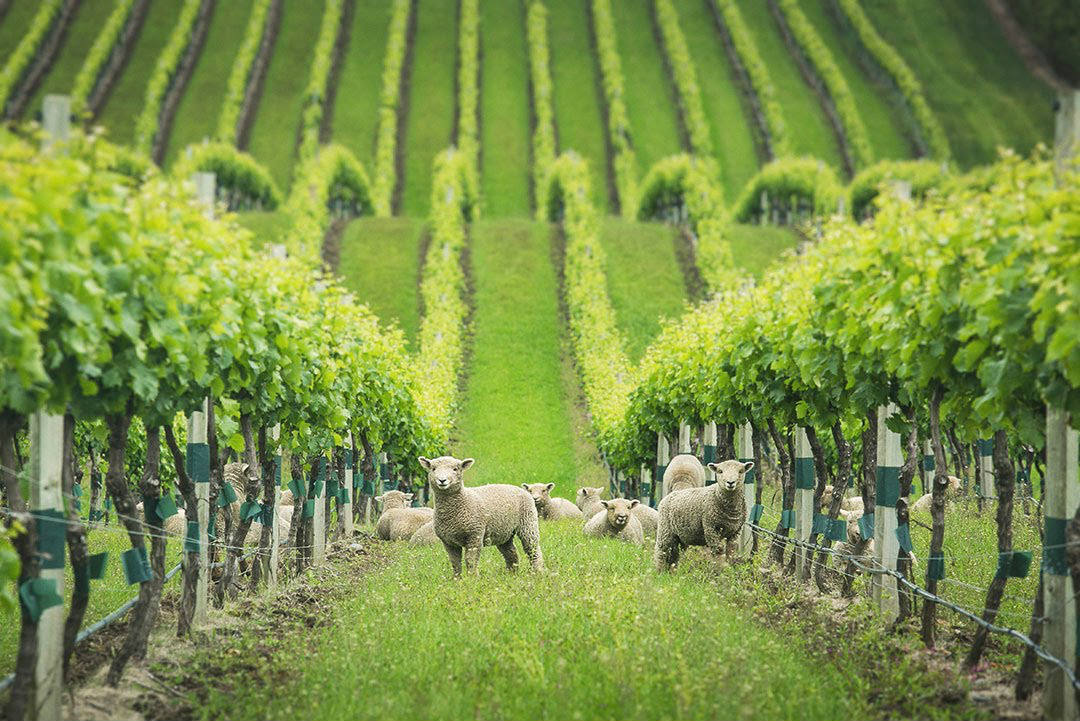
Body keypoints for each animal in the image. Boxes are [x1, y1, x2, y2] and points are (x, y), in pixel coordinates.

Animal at [416, 453, 544, 578]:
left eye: (455, 469)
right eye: (433, 469)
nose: (442, 480)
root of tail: (518, 488)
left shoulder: (475, 535)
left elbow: (470, 560)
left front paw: (472, 578)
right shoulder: (448, 542)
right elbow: (455, 562)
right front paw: (457, 579)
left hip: (528, 522)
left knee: (533, 548)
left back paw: (537, 572)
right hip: (504, 531)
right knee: (511, 552)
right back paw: (512, 573)